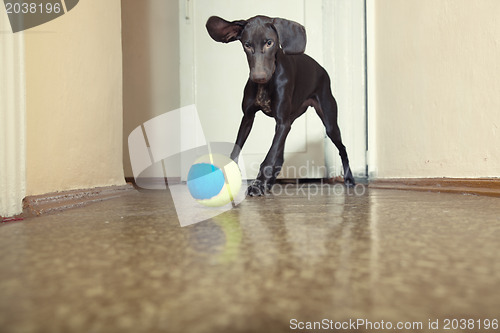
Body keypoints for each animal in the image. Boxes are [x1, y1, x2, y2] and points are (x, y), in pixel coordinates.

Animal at [207, 15, 356, 196]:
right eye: (247, 45)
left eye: (269, 43)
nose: (259, 77)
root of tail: (321, 68)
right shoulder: (248, 118)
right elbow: (237, 149)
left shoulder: (282, 123)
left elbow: (269, 157)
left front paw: (257, 184)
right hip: (289, 121)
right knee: (280, 156)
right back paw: (270, 182)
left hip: (329, 122)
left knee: (342, 148)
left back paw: (349, 178)